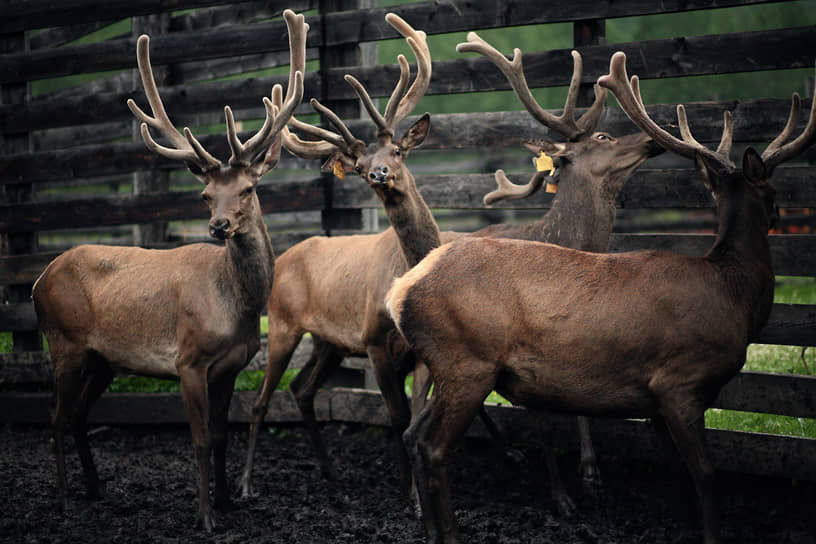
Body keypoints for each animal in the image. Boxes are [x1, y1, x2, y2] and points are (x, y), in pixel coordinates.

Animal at [30, 10, 308, 532]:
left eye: (247, 189)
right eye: (205, 194)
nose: (218, 225)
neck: (239, 308)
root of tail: (39, 279)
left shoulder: (231, 365)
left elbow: (220, 437)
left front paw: (227, 501)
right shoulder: (189, 361)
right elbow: (198, 440)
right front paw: (205, 517)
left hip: (102, 357)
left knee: (77, 416)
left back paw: (96, 489)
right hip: (64, 340)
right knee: (54, 419)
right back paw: (63, 501)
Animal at [236, 27, 664, 504]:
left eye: (399, 151)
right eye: (606, 139)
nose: (650, 140)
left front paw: (582, 473)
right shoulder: (390, 347)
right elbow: (409, 417)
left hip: (333, 343)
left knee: (304, 388)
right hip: (287, 328)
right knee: (266, 399)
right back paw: (248, 482)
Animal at [390, 51, 816, 544]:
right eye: (772, 191)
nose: (782, 213)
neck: (735, 295)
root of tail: (401, 290)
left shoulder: (657, 403)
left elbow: (680, 475)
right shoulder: (679, 381)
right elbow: (707, 474)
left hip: (450, 366)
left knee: (414, 436)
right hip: (467, 361)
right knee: (434, 448)